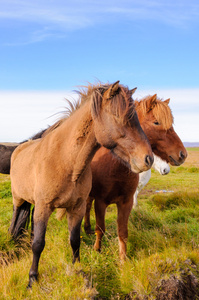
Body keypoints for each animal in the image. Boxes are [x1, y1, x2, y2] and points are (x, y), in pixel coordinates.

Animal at [8, 81, 154, 288]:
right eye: (119, 116)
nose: (148, 158)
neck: (65, 162)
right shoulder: (44, 208)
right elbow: (39, 244)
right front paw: (32, 279)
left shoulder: (76, 208)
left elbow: (75, 240)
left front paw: (77, 269)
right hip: (18, 199)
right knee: (15, 218)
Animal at [83, 94, 187, 260]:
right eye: (156, 122)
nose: (183, 154)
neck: (115, 166)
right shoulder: (101, 202)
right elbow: (101, 228)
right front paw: (97, 250)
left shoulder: (126, 202)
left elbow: (123, 232)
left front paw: (123, 259)